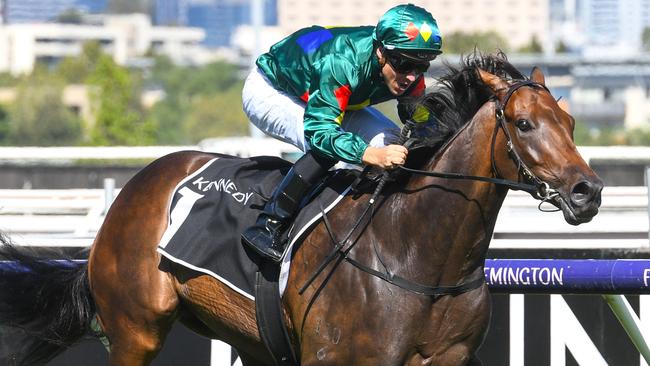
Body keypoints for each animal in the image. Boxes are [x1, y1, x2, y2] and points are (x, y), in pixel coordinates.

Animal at [0, 52, 600, 366]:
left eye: (571, 123)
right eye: (524, 123)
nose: (587, 192)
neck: (417, 255)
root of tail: (134, 188)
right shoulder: (330, 358)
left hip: (249, 338)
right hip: (135, 330)